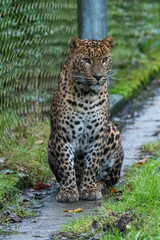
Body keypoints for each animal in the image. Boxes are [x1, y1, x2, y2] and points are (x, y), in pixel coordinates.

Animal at [48, 36, 124, 202]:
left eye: (104, 59)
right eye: (86, 60)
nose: (98, 76)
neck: (86, 96)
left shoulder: (98, 135)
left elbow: (93, 164)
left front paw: (89, 189)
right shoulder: (63, 135)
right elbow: (65, 164)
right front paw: (68, 191)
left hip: (113, 131)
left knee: (110, 178)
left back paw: (98, 184)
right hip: (50, 142)